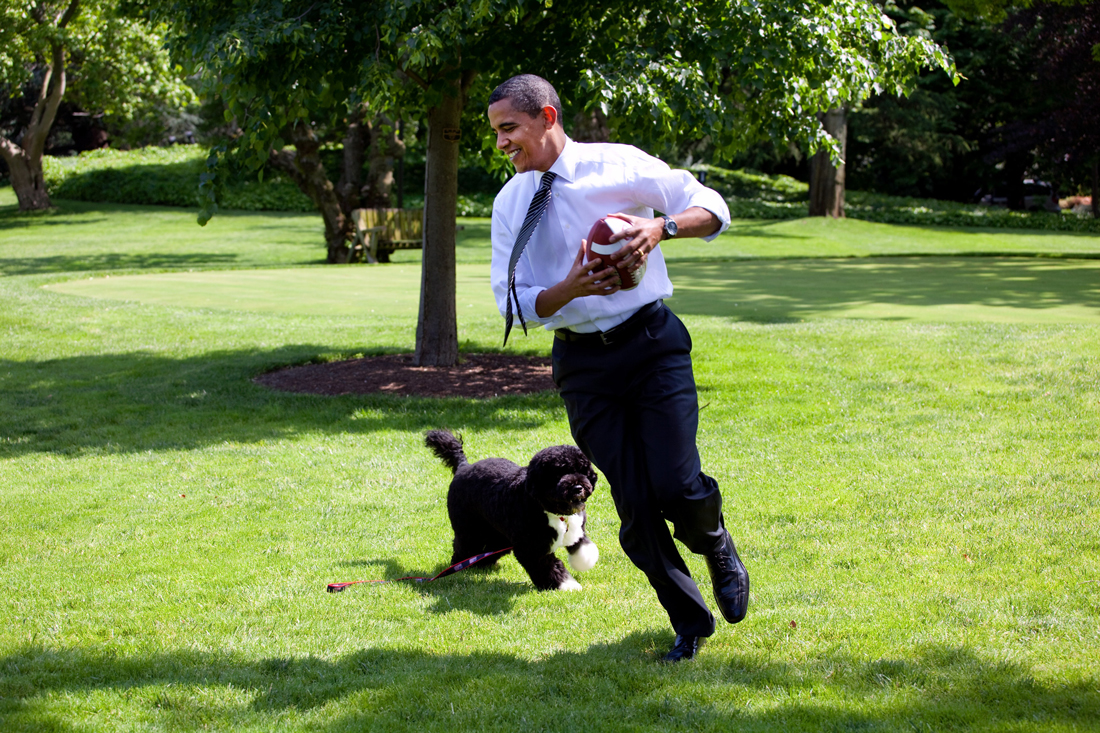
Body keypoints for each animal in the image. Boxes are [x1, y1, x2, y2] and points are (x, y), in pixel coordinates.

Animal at [422, 429, 602, 589]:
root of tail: (463, 466)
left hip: (498, 534)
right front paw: (566, 585)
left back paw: (482, 563)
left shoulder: (576, 528)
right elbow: (549, 567)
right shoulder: (531, 547)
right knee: (464, 546)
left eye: (582, 471)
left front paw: (584, 561)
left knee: (489, 548)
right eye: (557, 474)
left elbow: (581, 546)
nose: (577, 487)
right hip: (469, 528)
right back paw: (461, 565)